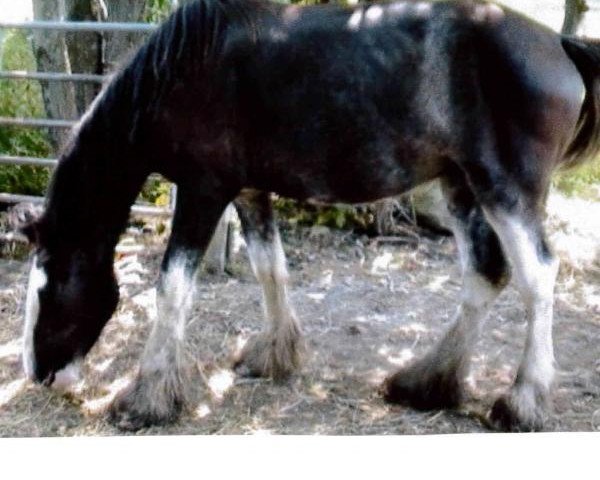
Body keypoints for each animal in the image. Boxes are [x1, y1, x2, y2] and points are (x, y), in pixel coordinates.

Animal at [18, 0, 600, 434]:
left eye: (52, 288)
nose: (40, 374)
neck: (185, 71)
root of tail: (558, 45)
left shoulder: (203, 192)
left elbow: (172, 289)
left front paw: (147, 397)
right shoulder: (249, 191)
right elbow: (270, 269)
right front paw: (276, 355)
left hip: (505, 191)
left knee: (536, 277)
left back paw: (522, 402)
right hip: (461, 185)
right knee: (484, 274)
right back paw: (427, 383)